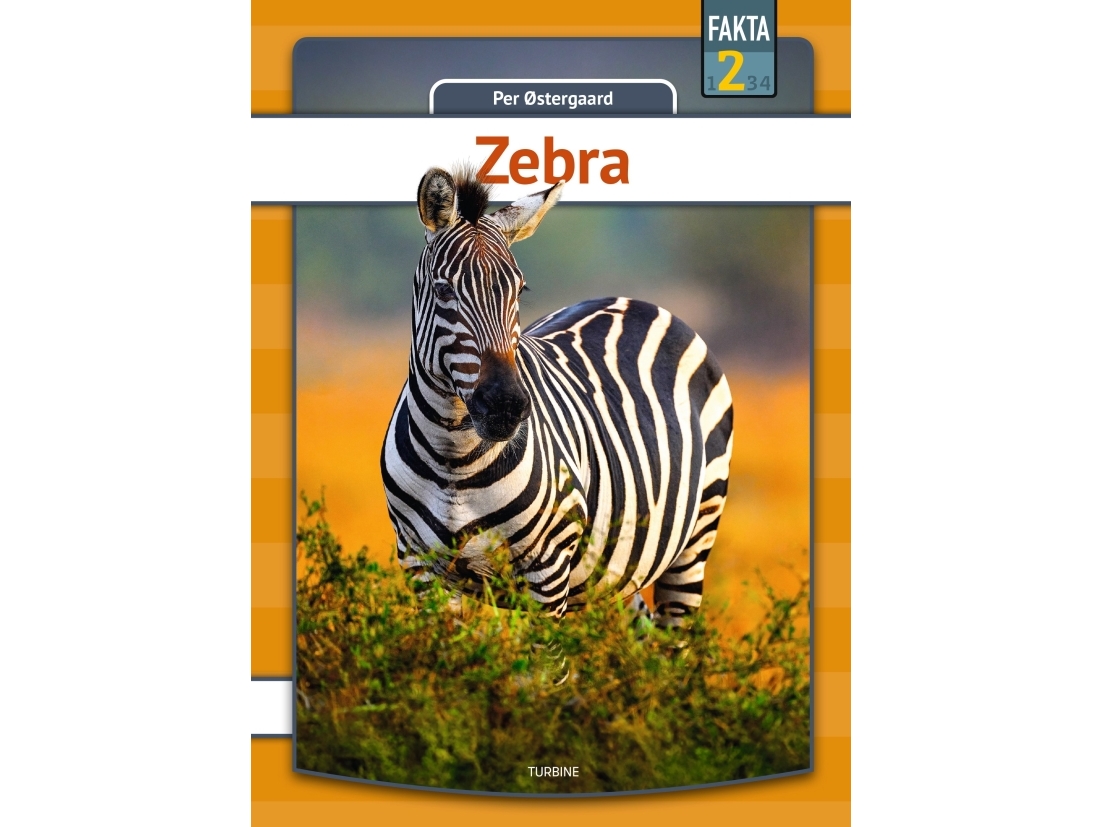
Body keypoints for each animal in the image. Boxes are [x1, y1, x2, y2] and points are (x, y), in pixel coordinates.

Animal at [380, 167, 734, 628]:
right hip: (613, 570)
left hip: (696, 538)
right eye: (443, 292)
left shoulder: (547, 571)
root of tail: (636, 301)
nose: (506, 406)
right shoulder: (421, 567)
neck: (453, 458)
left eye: (520, 291)